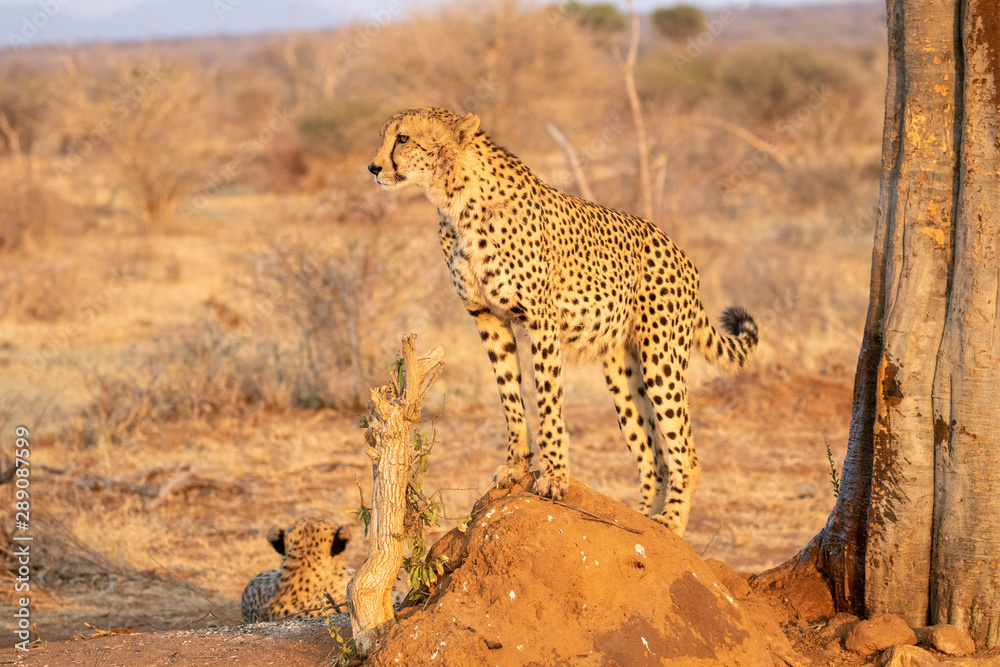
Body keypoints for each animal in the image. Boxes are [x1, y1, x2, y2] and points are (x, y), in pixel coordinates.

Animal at [367, 108, 758, 536]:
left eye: (403, 138)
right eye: (387, 136)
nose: (374, 167)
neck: (454, 199)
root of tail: (680, 252)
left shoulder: (541, 317)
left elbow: (547, 398)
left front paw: (554, 476)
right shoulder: (487, 317)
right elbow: (510, 396)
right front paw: (516, 464)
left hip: (662, 358)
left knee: (684, 451)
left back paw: (670, 521)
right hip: (623, 374)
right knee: (652, 454)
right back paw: (641, 519)